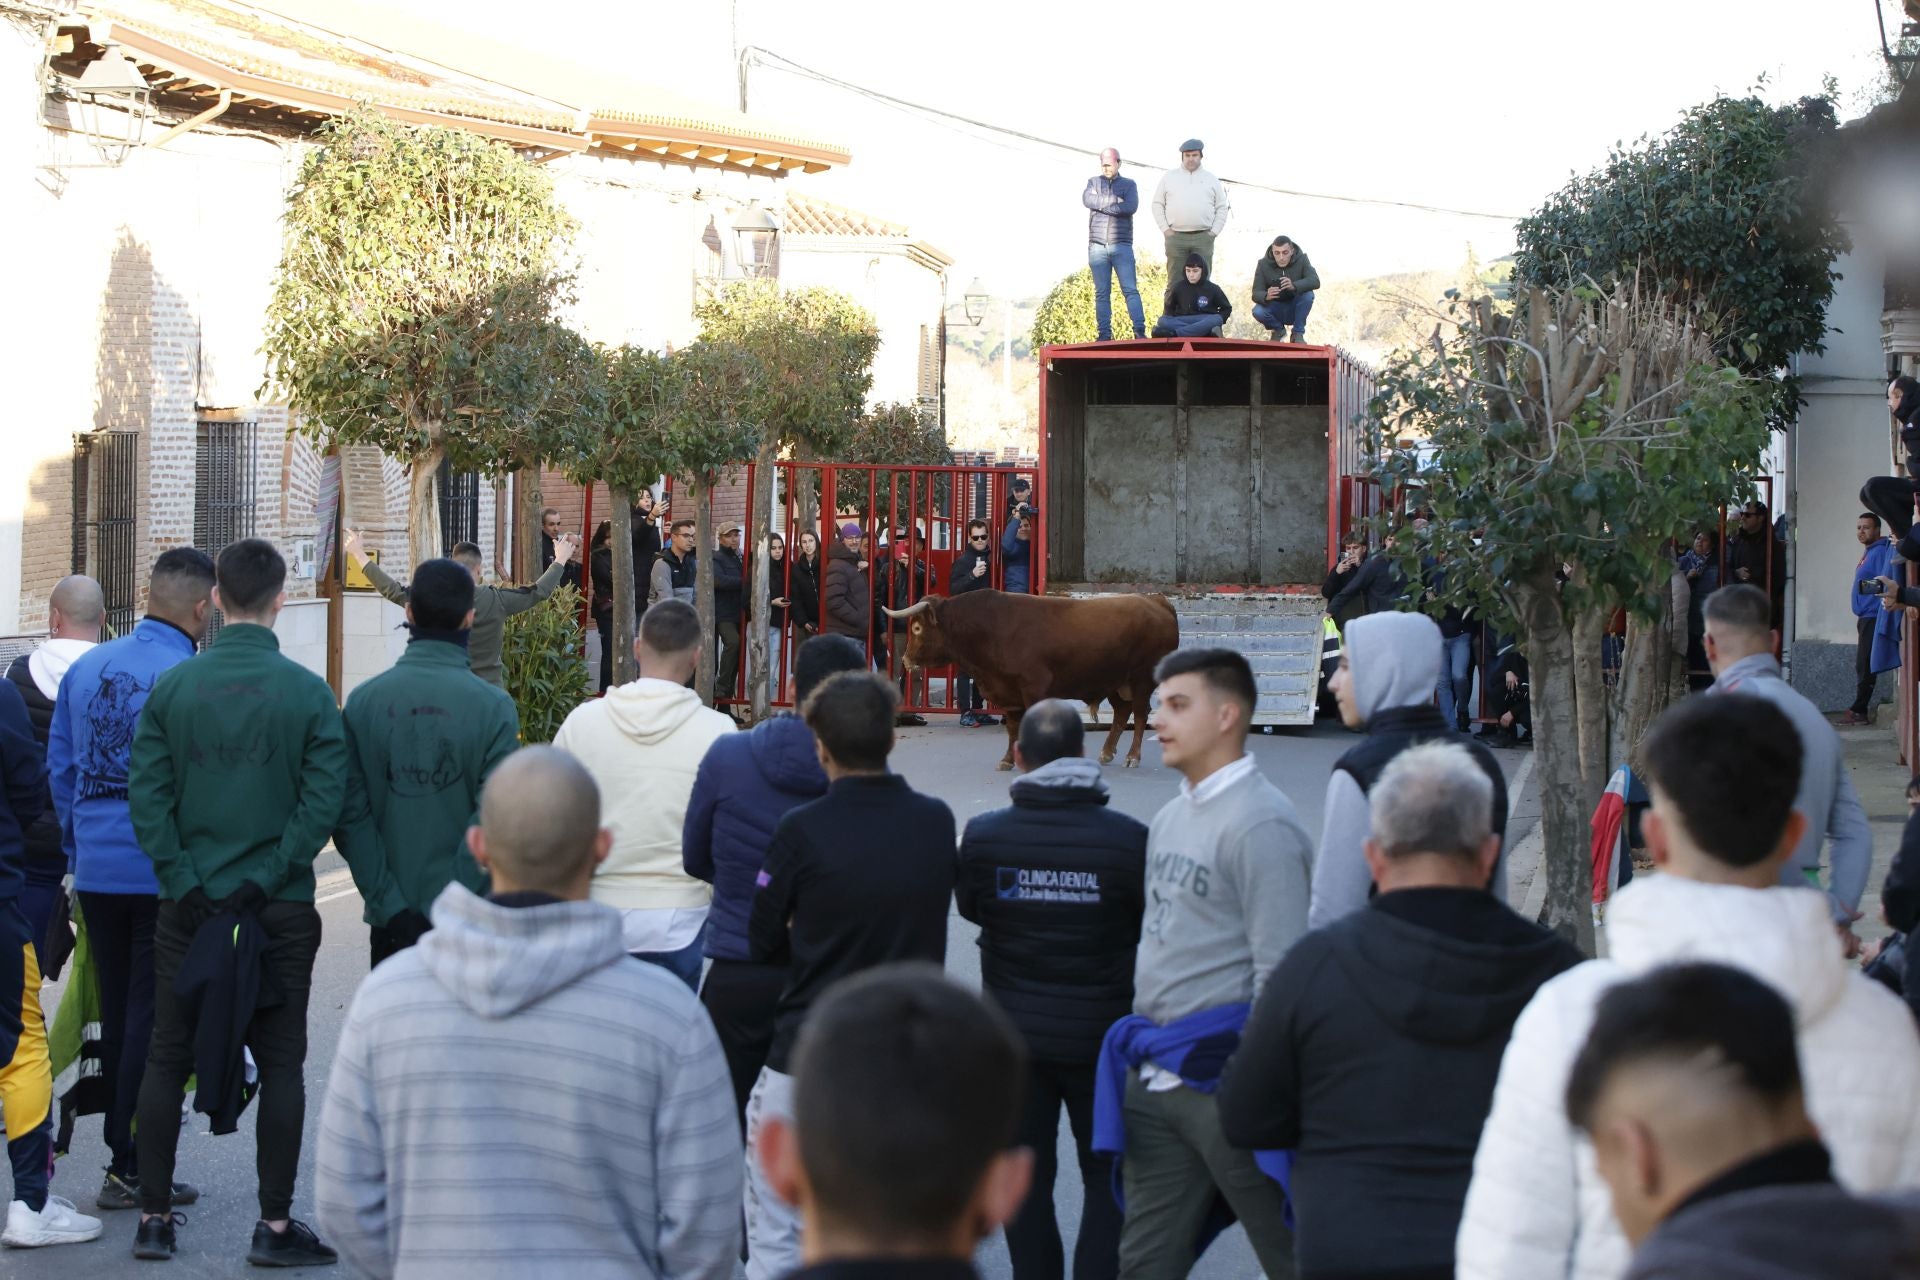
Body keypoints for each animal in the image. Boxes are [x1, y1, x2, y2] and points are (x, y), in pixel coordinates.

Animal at [879, 591, 1175, 771]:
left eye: (917, 627)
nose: (905, 660)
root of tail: (1155, 600)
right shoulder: (1008, 693)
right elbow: (1013, 728)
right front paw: (1007, 760)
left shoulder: (1033, 687)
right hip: (1114, 682)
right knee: (1121, 713)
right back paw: (1107, 752)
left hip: (1141, 679)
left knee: (1140, 715)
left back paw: (1132, 756)